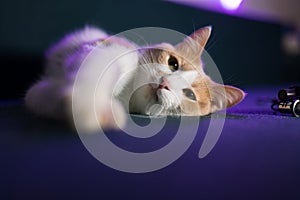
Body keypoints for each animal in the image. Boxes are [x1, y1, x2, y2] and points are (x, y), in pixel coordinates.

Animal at [25, 25, 246, 131]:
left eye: (190, 94)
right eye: (173, 64)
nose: (165, 83)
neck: (127, 94)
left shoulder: (37, 95)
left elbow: (42, 97)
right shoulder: (105, 50)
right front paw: (89, 106)